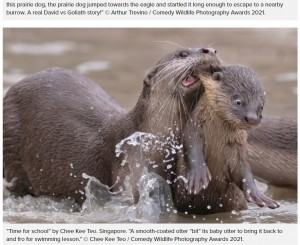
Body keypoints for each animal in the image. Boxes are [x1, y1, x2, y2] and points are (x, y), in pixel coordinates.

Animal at [175, 64, 280, 214]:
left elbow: (243, 170)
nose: (252, 118)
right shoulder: (194, 128)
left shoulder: (238, 147)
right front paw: (198, 176)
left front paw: (257, 195)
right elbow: (191, 147)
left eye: (261, 107)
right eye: (238, 101)